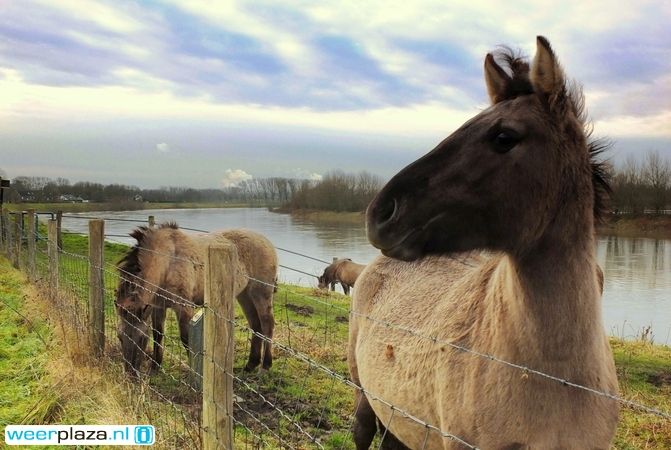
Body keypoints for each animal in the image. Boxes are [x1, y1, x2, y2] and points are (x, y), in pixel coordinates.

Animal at [115, 223, 278, 374]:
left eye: (142, 338)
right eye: (120, 337)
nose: (130, 373)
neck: (167, 262)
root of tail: (267, 242)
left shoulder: (184, 307)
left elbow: (187, 339)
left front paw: (195, 371)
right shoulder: (158, 307)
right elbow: (158, 334)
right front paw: (155, 366)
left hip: (260, 293)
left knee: (267, 324)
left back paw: (265, 365)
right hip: (244, 295)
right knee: (256, 325)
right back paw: (251, 364)